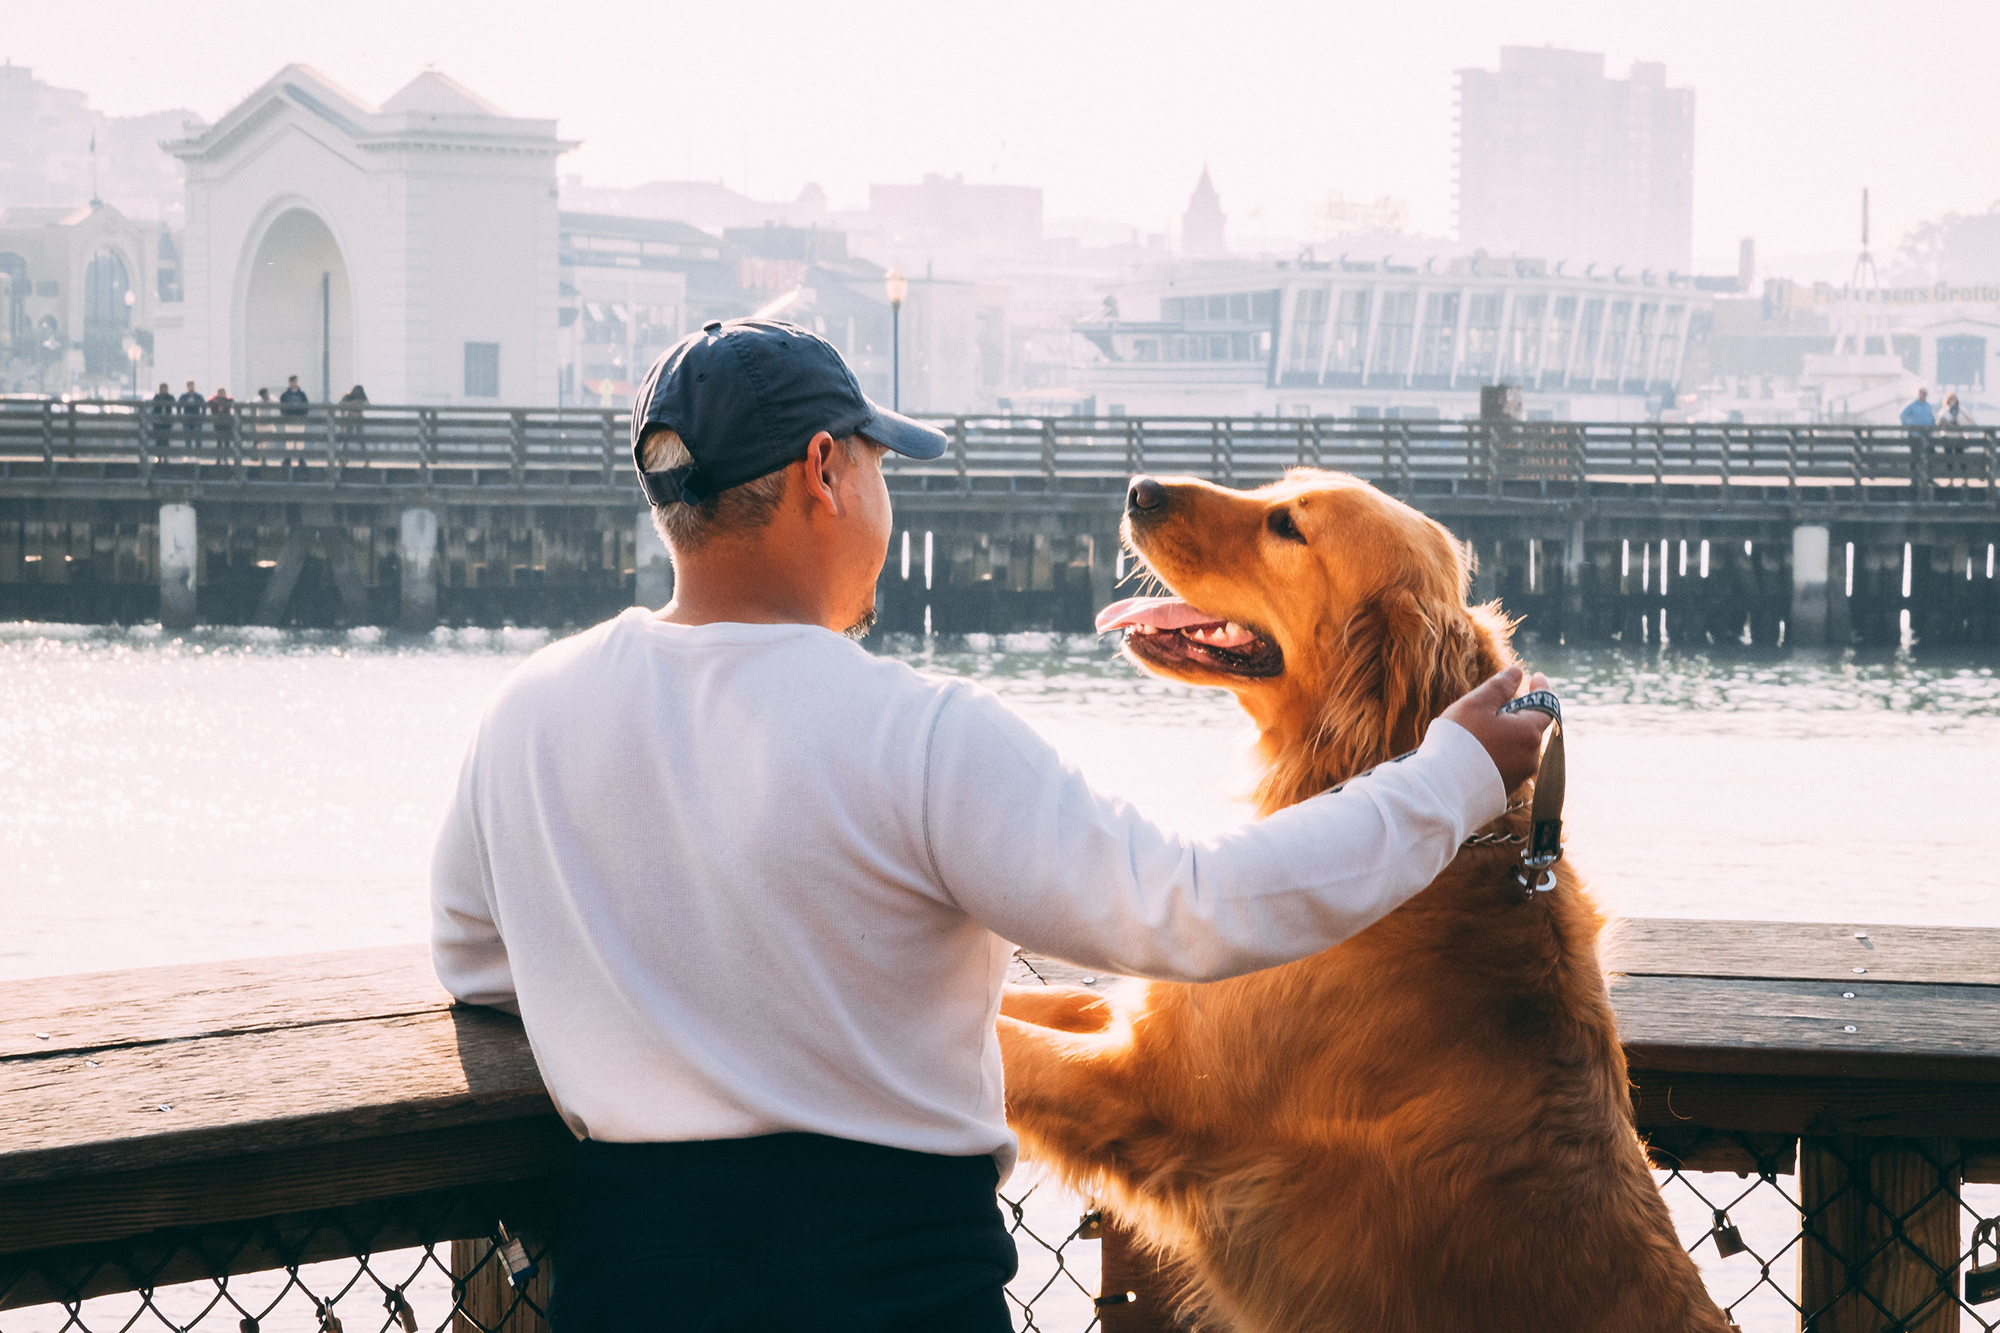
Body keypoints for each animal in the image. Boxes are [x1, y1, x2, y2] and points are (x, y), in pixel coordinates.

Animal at [992, 470, 1728, 1328]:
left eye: (1287, 526)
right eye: (1276, 486)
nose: (1139, 489)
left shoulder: (1142, 1087)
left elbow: (1007, 1047)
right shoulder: (1140, 1018)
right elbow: (1031, 1004)